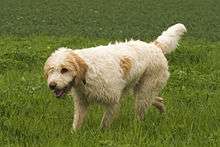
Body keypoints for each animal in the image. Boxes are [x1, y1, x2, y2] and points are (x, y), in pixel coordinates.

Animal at [43, 23, 186, 131]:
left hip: (144, 92)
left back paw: (137, 127)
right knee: (158, 100)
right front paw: (74, 135)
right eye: (51, 70)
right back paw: (162, 113)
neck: (88, 74)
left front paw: (101, 134)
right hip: (141, 91)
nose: (52, 85)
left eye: (64, 70)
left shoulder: (112, 102)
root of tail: (154, 45)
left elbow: (104, 124)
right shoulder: (82, 103)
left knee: (141, 113)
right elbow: (77, 123)